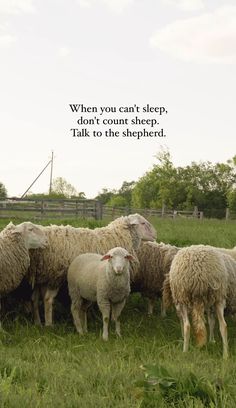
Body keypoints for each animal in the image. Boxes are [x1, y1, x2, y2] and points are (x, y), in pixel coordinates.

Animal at [29, 214, 157, 326]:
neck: (119, 236)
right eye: (143, 223)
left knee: (35, 299)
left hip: (41, 276)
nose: (156, 235)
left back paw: (37, 322)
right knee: (47, 299)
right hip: (56, 275)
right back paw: (49, 325)